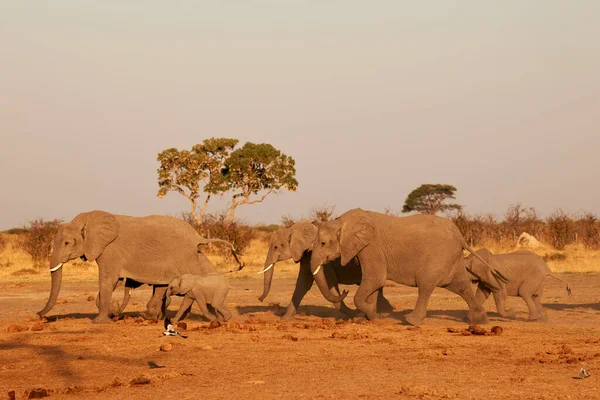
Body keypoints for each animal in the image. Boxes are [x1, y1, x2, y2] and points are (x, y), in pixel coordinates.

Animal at [36, 211, 239, 324]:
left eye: (67, 243)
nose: (39, 315)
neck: (85, 220)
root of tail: (198, 236)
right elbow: (115, 281)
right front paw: (112, 312)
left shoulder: (109, 249)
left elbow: (108, 280)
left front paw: (98, 322)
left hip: (183, 257)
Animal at [258, 220, 394, 320]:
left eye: (276, 247)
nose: (260, 299)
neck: (294, 228)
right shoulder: (307, 257)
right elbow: (303, 284)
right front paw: (284, 320)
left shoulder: (321, 258)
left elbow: (329, 282)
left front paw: (355, 315)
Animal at [308, 208, 508, 326]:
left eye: (323, 243)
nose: (344, 291)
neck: (341, 221)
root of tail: (460, 235)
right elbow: (374, 284)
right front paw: (370, 317)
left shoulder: (371, 247)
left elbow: (375, 279)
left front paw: (373, 316)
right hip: (453, 257)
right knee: (461, 286)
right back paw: (480, 321)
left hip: (438, 256)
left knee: (426, 285)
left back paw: (411, 321)